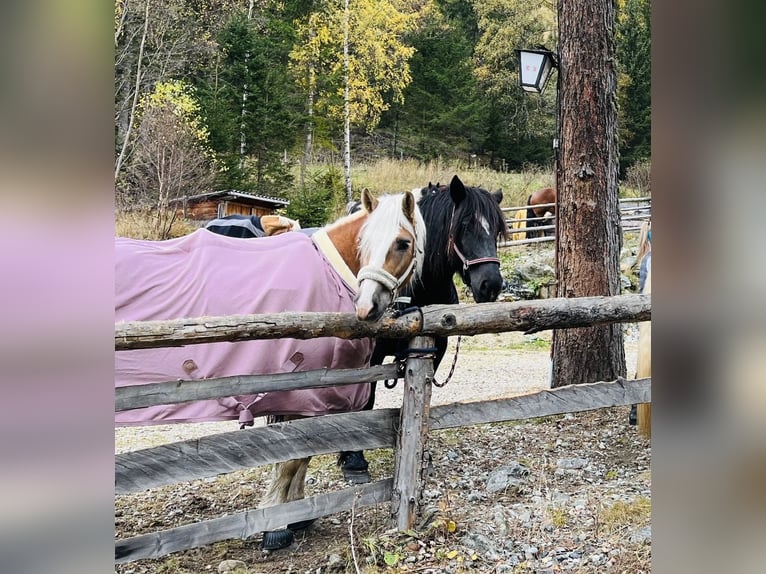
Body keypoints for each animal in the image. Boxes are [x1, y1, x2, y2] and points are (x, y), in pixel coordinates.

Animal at [115, 189, 426, 551]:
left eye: (402, 243)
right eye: (363, 240)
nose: (366, 307)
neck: (330, 273)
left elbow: (301, 454)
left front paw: (297, 514)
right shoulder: (301, 392)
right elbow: (292, 457)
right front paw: (276, 523)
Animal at [337, 174, 508, 480]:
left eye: (497, 230)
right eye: (465, 225)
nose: (490, 284)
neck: (418, 291)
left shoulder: (432, 351)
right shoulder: (371, 357)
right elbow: (365, 399)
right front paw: (353, 458)